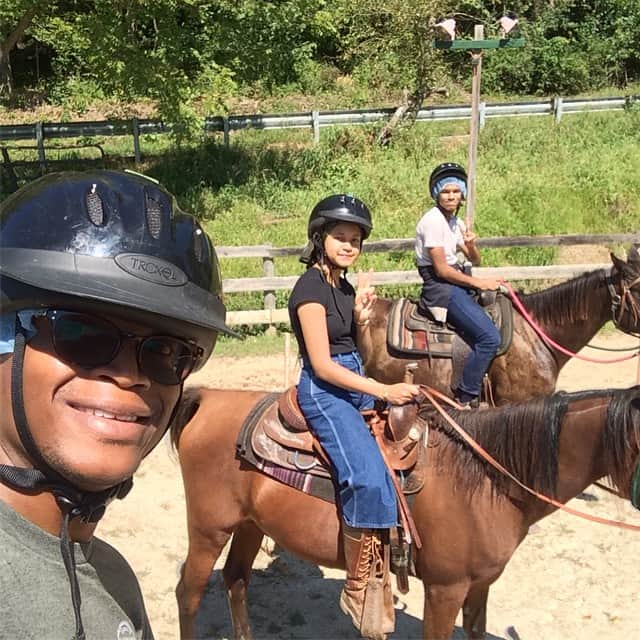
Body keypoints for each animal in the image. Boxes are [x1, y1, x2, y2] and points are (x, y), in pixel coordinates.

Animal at [170, 382, 640, 636]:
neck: (484, 480)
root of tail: (210, 397)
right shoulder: (445, 588)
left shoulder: (481, 585)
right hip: (208, 530)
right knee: (188, 593)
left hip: (250, 525)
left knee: (236, 580)